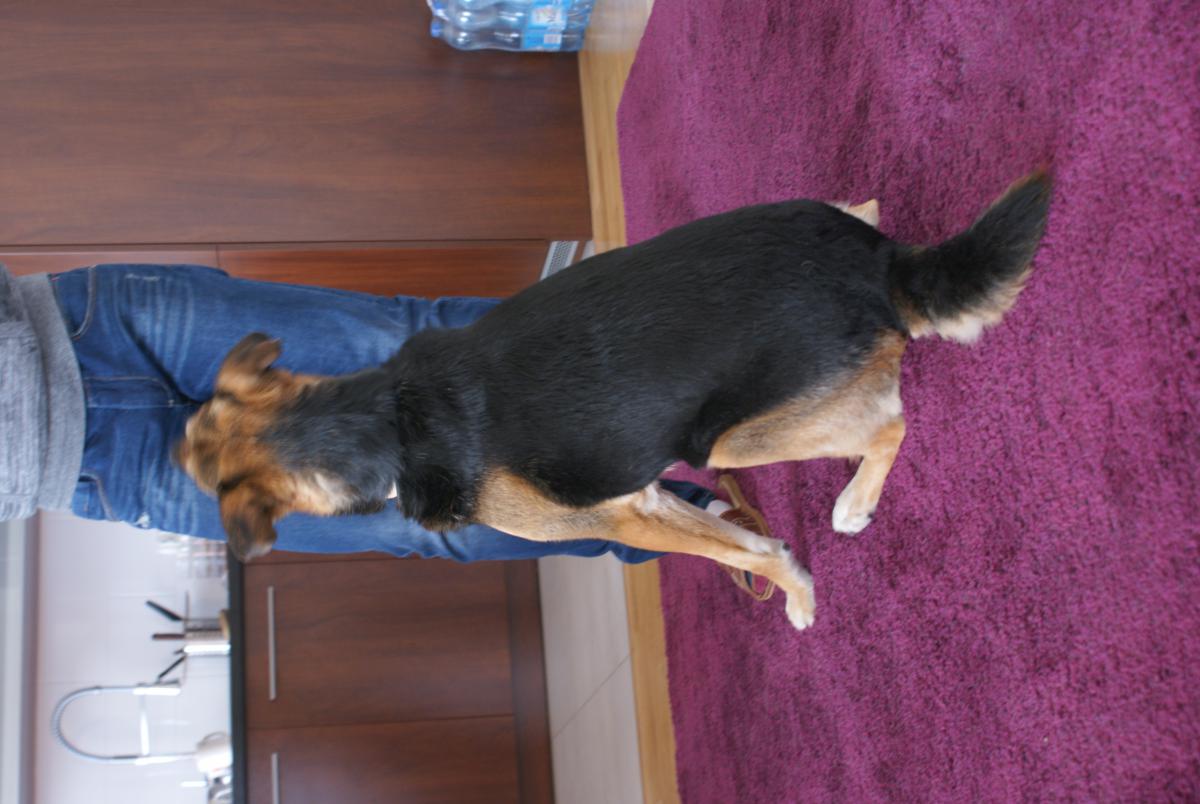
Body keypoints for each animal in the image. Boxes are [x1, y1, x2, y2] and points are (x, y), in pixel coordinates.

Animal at [176, 171, 1050, 630]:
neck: (380, 422)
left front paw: (798, 596)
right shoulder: (645, 500)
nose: (170, 447)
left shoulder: (622, 517)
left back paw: (855, 504)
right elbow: (741, 544)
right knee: (861, 215)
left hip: (730, 439)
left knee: (891, 423)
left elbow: (740, 552)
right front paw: (780, 566)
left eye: (191, 468)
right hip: (804, 236)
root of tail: (882, 265)